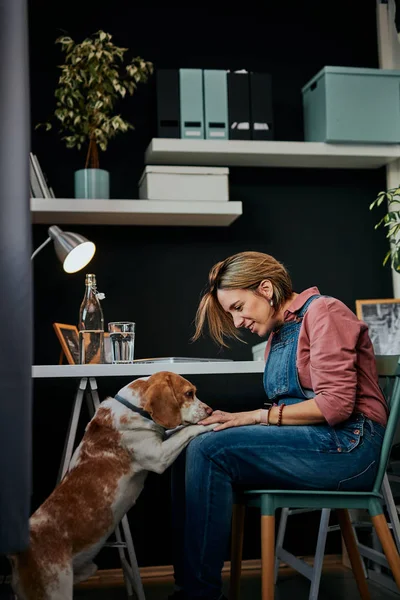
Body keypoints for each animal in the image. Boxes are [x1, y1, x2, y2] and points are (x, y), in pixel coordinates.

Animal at [10, 370, 216, 600]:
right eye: (189, 393)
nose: (210, 410)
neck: (134, 409)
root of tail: (19, 553)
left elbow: (177, 429)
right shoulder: (159, 456)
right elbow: (186, 430)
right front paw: (215, 422)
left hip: (85, 570)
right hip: (56, 590)